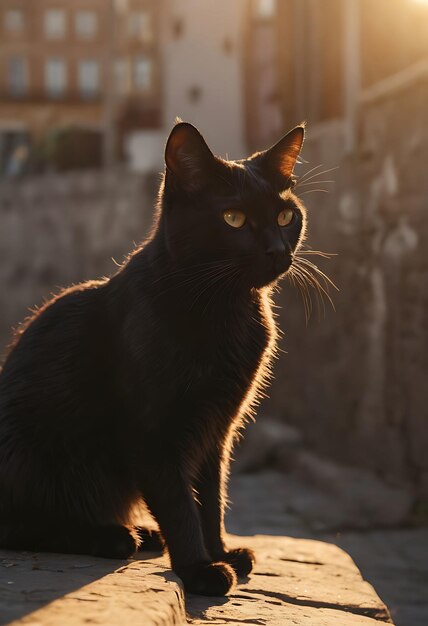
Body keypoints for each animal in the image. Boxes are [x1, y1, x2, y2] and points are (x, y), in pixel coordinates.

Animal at [1, 122, 306, 596]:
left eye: (286, 217)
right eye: (233, 218)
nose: (277, 249)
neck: (225, 309)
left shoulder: (217, 429)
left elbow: (210, 499)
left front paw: (220, 552)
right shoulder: (152, 432)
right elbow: (179, 502)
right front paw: (200, 569)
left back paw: (142, 533)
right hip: (31, 452)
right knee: (18, 525)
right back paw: (112, 536)